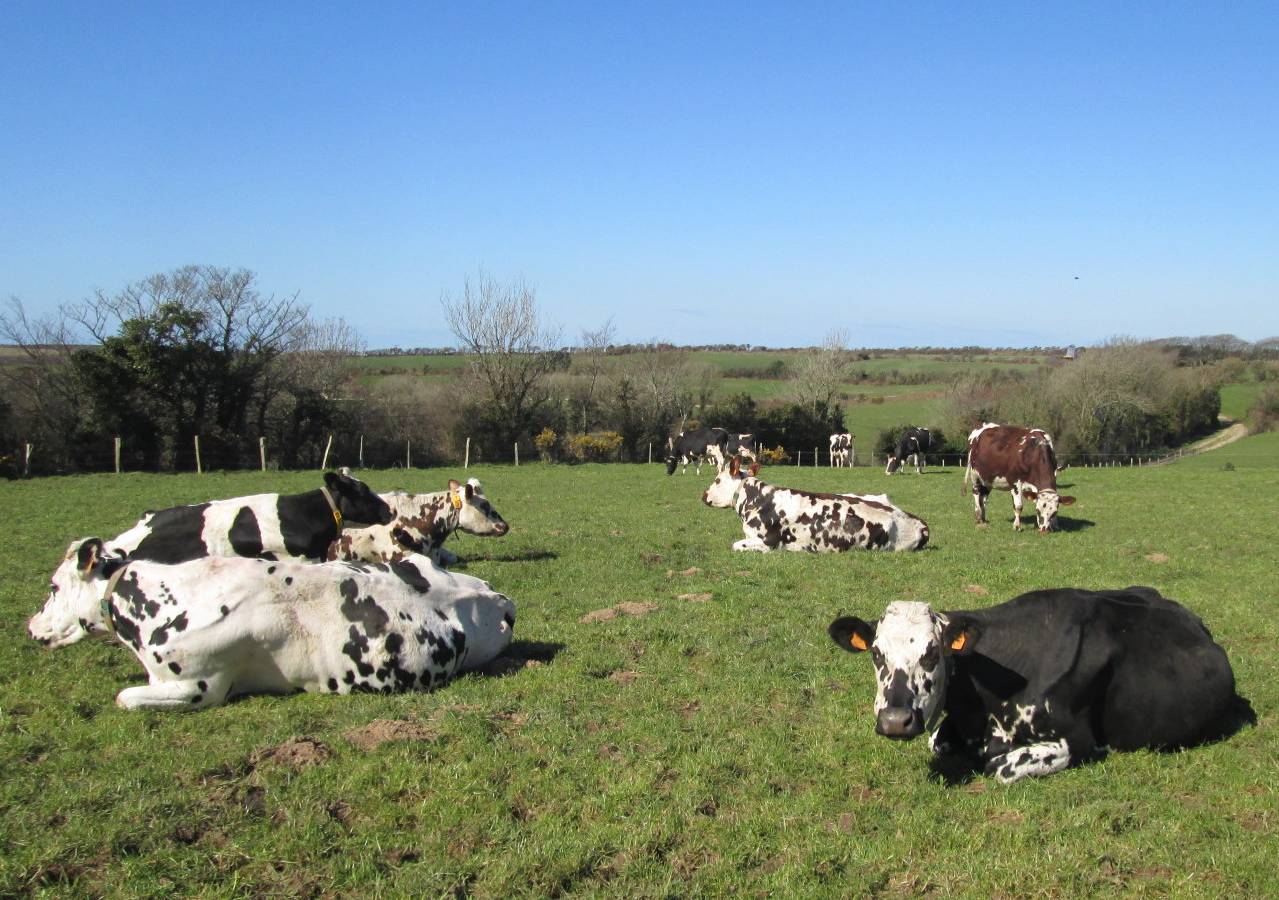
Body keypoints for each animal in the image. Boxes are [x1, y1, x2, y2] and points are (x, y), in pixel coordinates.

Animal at [702, 457, 929, 552]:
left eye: (717, 480)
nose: (703, 495)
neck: (757, 500)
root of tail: (921, 524)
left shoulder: (768, 542)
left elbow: (736, 545)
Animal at [828, 586, 1251, 783]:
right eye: (876, 654)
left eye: (932, 653)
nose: (895, 720)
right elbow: (939, 741)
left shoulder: (1078, 740)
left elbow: (1000, 767)